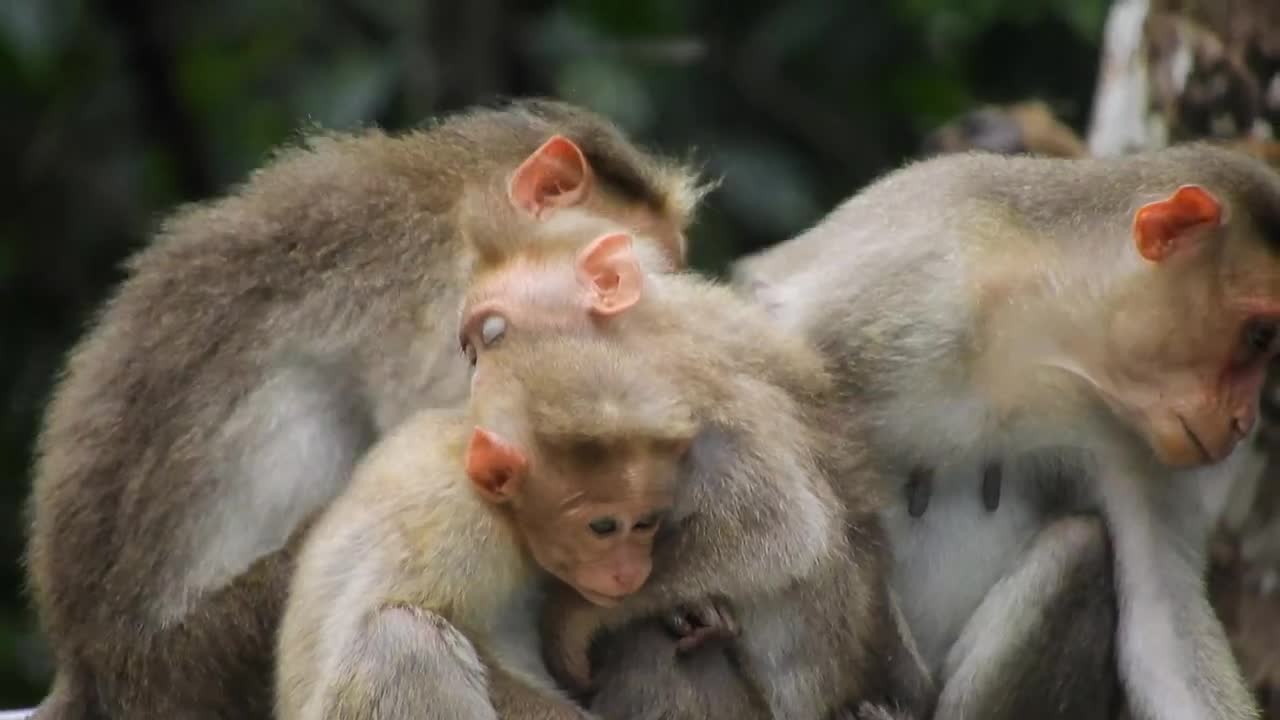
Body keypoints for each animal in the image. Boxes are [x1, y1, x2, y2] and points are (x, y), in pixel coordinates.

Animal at [448, 213, 931, 717]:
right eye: (472, 352)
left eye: (494, 335)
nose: (477, 384)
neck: (644, 328)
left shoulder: (666, 390)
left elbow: (782, 527)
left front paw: (573, 617)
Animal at [732, 144, 1280, 717]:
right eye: (1260, 336)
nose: (1244, 422)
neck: (1042, 337)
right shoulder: (896, 304)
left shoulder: (1138, 439)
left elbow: (1163, 630)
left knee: (1081, 547)